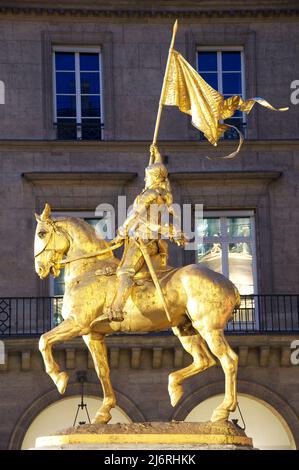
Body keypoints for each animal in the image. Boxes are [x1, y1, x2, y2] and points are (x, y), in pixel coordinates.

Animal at [35, 204, 241, 424]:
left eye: (42, 233)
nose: (39, 269)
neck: (89, 270)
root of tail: (229, 285)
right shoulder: (92, 334)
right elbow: (102, 370)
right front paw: (104, 411)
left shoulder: (77, 324)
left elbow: (43, 340)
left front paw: (59, 378)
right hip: (186, 330)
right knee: (204, 360)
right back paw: (174, 388)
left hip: (208, 328)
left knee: (228, 360)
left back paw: (223, 410)